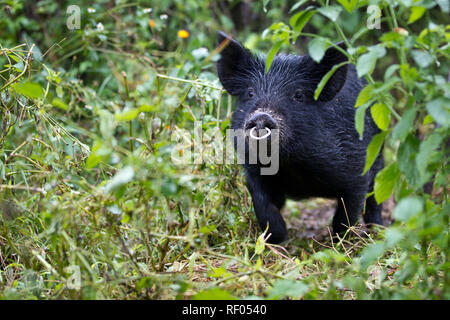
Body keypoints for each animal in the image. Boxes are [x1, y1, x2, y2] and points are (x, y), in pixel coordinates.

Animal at [217, 31, 384, 242]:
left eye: (298, 95)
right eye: (250, 93)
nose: (262, 116)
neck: (293, 166)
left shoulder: (356, 166)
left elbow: (348, 211)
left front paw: (340, 241)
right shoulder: (253, 170)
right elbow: (263, 205)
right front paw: (279, 238)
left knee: (375, 198)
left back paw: (378, 229)